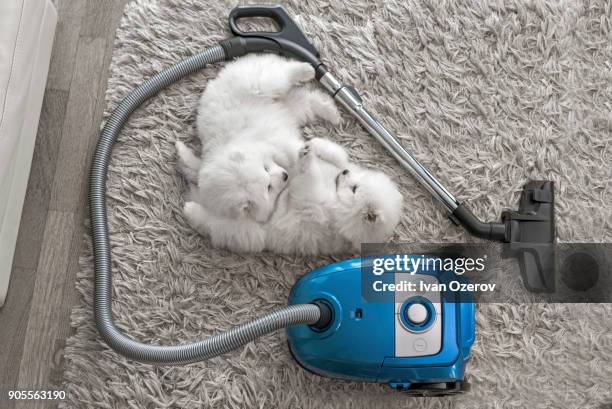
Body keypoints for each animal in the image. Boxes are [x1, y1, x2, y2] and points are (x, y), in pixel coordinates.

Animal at [179, 139, 404, 253]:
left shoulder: (312, 200)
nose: (345, 172)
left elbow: (310, 178)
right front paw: (312, 145)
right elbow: (337, 154)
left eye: (355, 189)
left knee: (213, 223)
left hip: (243, 230)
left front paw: (308, 156)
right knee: (203, 170)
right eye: (357, 183)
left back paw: (190, 209)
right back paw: (183, 155)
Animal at [180, 53, 344, 223]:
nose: (285, 175)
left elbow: (295, 151)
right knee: (307, 100)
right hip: (288, 106)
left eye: (265, 168)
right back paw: (332, 112)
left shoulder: (278, 143)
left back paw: (306, 70)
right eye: (268, 188)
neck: (247, 144)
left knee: (281, 73)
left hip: (258, 84)